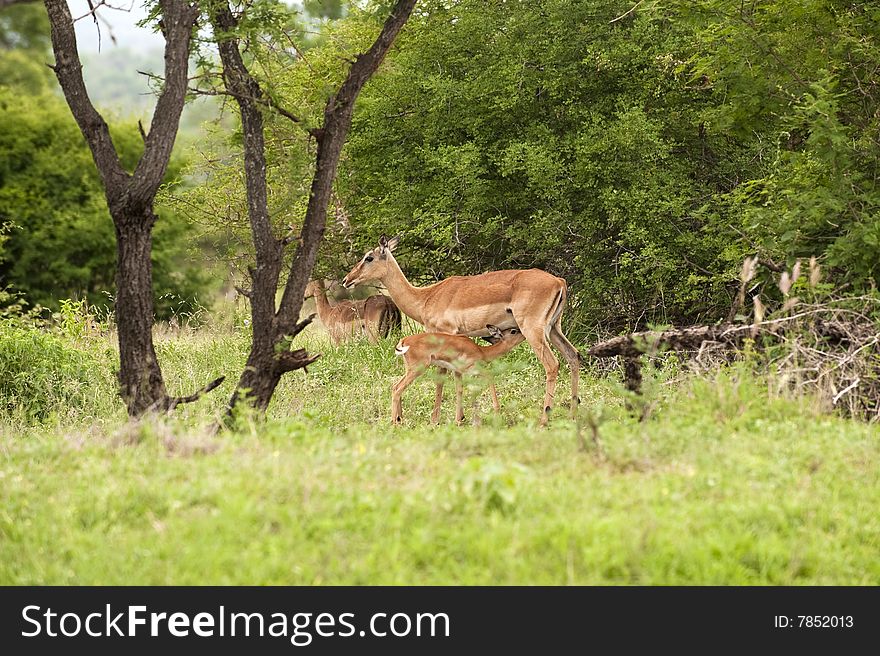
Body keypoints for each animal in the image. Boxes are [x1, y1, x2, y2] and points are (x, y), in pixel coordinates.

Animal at [394, 324, 528, 426]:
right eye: (513, 331)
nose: (524, 333)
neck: (482, 352)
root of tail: (404, 341)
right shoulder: (471, 370)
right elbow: (485, 381)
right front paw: (493, 413)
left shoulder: (457, 372)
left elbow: (459, 390)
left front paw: (458, 420)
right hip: (417, 369)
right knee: (397, 389)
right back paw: (394, 423)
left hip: (410, 369)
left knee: (395, 386)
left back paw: (400, 419)